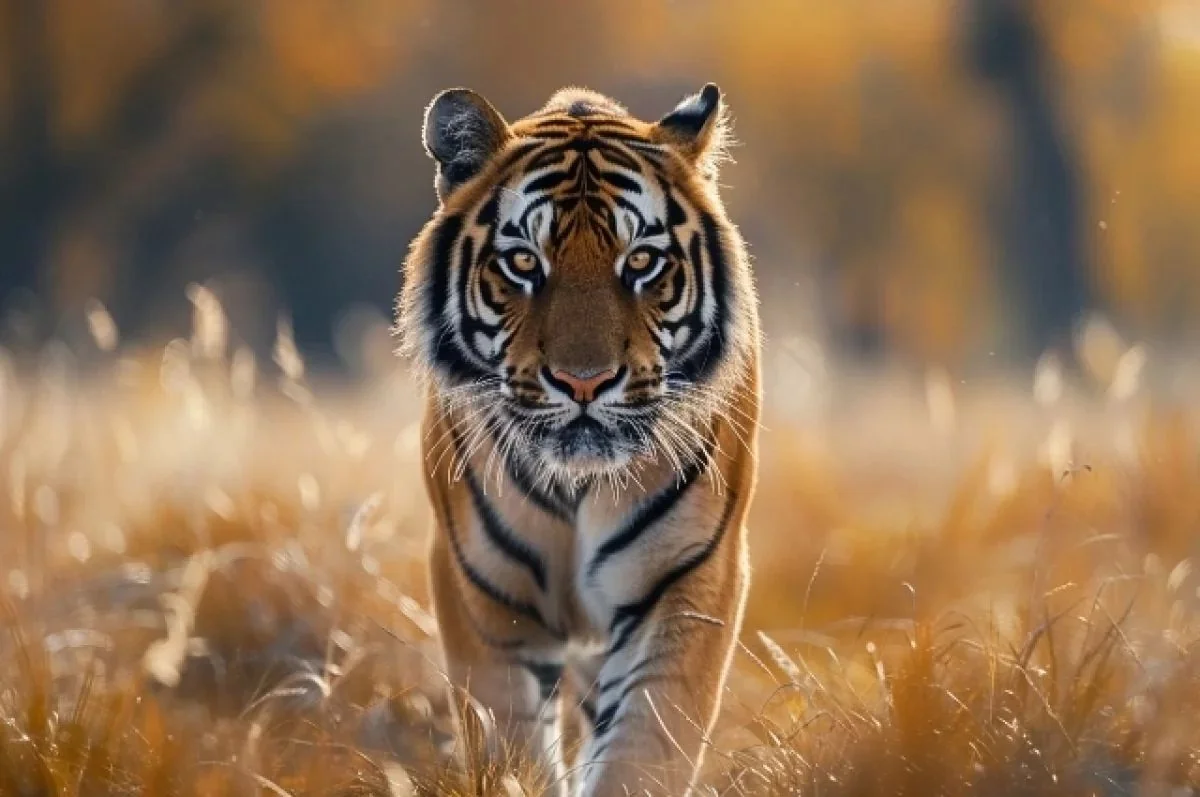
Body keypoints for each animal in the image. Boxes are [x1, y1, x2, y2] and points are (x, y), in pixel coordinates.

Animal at [394, 82, 761, 797]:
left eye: (641, 261)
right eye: (522, 262)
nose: (583, 382)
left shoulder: (686, 579)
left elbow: (644, 747)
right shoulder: (484, 596)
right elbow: (508, 744)